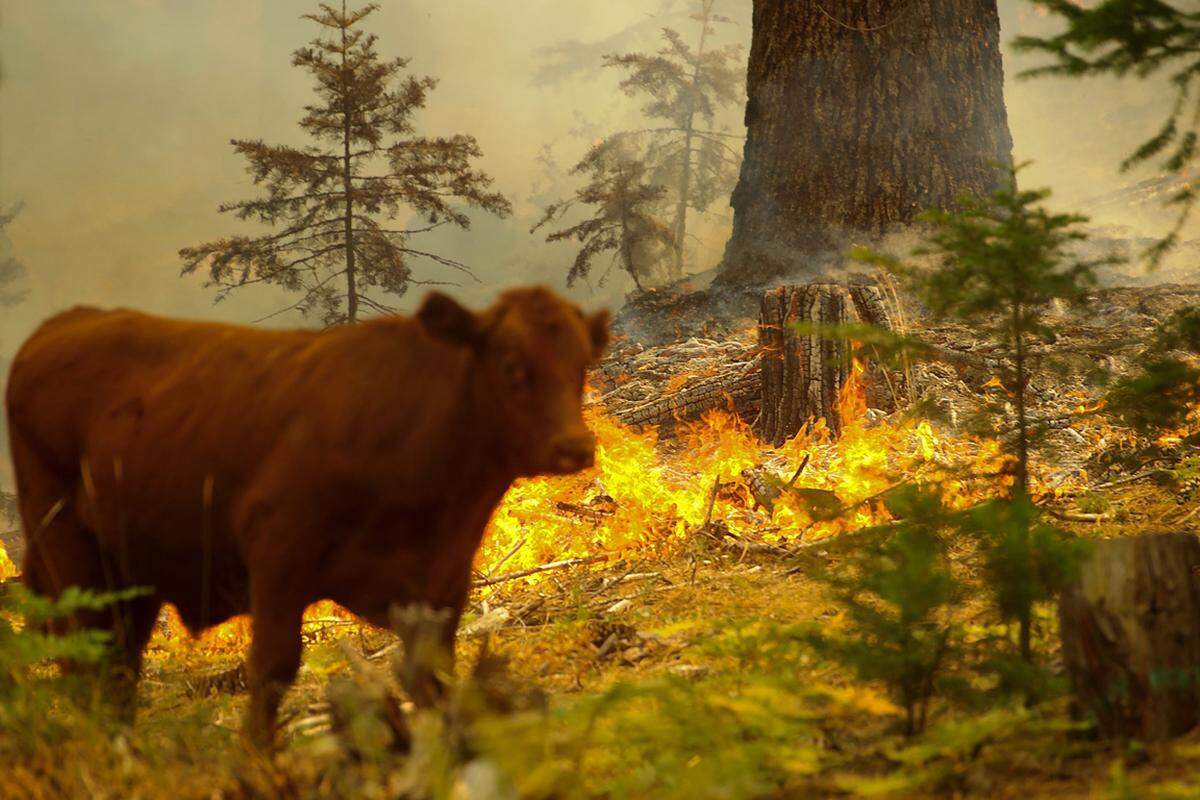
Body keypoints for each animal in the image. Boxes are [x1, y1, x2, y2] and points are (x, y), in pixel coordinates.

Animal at [4, 286, 609, 743]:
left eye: (581, 365)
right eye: (512, 367)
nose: (575, 446)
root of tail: (60, 325)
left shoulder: (441, 583)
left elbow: (431, 677)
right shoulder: (277, 556)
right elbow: (272, 670)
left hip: (134, 571)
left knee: (119, 667)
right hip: (68, 552)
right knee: (88, 661)